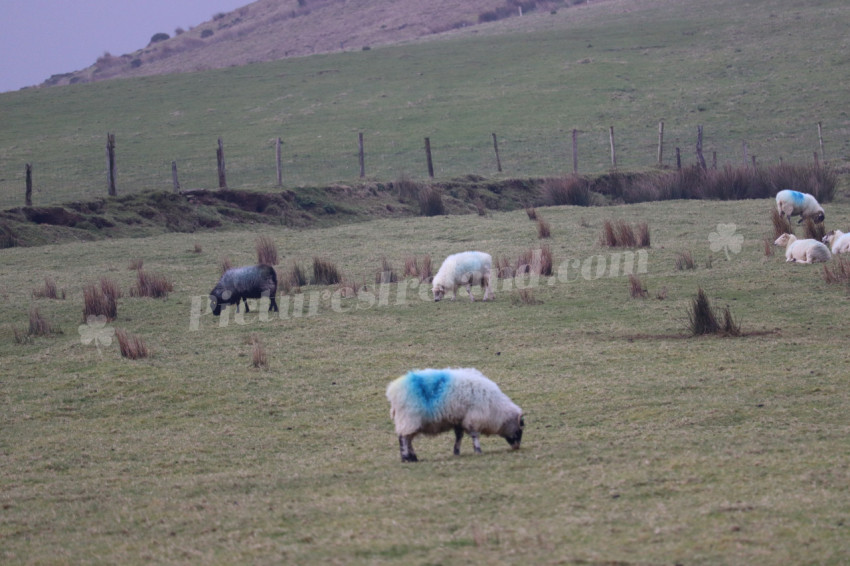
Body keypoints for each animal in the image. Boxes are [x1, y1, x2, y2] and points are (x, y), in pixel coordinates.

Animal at [386, 368, 524, 462]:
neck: (496, 408)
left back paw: (413, 457)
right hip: (409, 418)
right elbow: (474, 435)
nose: (517, 447)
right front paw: (478, 450)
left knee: (408, 438)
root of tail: (393, 391)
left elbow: (459, 436)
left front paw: (456, 452)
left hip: (409, 421)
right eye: (520, 430)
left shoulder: (459, 420)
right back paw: (406, 458)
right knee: (403, 438)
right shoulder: (474, 418)